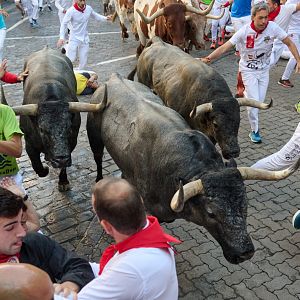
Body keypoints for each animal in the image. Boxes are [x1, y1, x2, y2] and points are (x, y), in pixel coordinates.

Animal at [86, 74, 298, 264]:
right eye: (211, 213)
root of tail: (114, 78)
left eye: (245, 204)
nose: (244, 253)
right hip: (94, 137)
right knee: (97, 159)